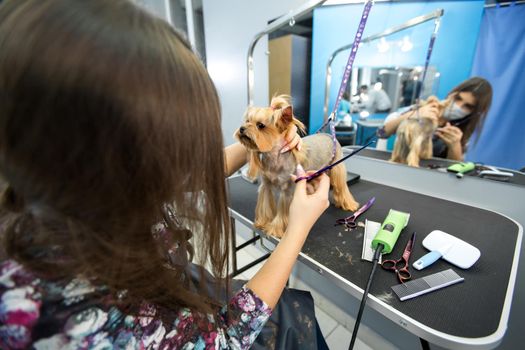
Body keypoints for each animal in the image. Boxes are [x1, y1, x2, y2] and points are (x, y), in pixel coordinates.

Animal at [235, 95, 358, 238]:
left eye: (260, 125)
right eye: (247, 121)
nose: (242, 128)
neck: (274, 157)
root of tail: (330, 135)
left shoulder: (286, 190)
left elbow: (282, 211)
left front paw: (275, 229)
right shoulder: (266, 185)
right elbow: (265, 204)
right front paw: (263, 222)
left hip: (337, 167)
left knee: (342, 187)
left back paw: (349, 204)